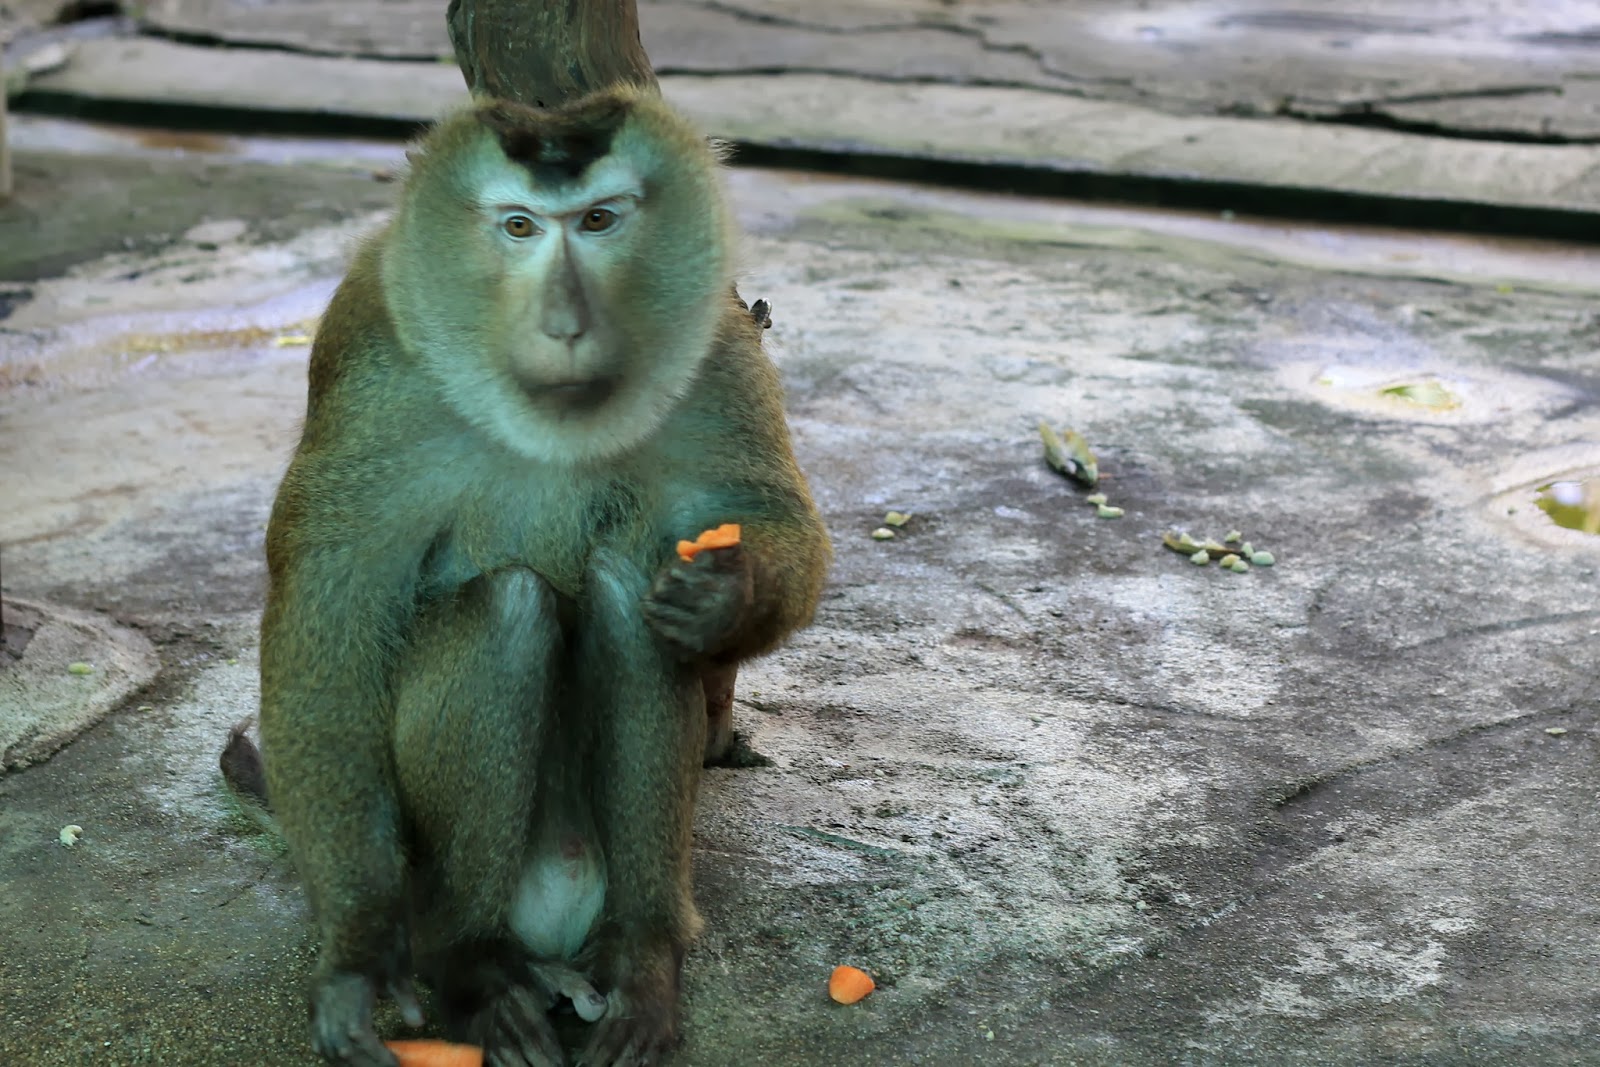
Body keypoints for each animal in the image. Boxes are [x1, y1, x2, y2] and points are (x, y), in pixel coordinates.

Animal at [246, 84, 830, 1067]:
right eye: (518, 226)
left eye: (598, 221)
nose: (566, 325)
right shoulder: (369, 355)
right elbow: (334, 628)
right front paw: (359, 951)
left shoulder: (716, 345)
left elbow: (763, 517)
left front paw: (726, 594)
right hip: (432, 868)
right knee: (508, 608)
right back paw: (475, 967)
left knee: (629, 601)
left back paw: (640, 954)